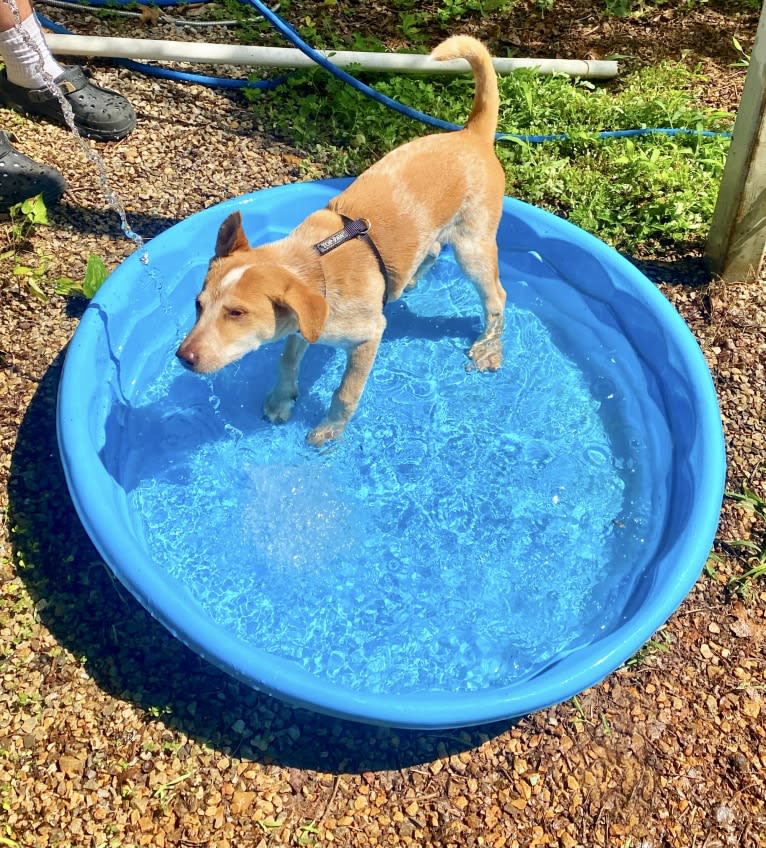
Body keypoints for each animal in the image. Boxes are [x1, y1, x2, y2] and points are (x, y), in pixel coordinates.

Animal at [177, 34, 508, 444]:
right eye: (198, 305)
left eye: (236, 313)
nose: (183, 357)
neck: (314, 262)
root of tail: (471, 134)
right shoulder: (303, 322)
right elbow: (287, 359)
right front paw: (281, 399)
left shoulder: (368, 335)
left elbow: (347, 391)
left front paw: (329, 430)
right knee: (430, 249)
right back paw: (408, 282)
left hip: (472, 247)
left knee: (496, 298)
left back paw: (488, 348)